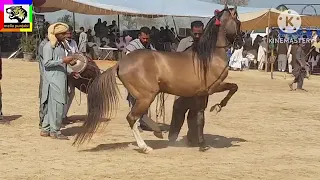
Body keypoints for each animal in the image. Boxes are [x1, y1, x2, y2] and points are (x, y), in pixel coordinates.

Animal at [73, 3, 242, 153]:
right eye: (238, 22)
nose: (240, 42)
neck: (208, 56)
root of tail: (121, 63)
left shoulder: (201, 94)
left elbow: (199, 118)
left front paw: (201, 143)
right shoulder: (214, 87)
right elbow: (234, 87)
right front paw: (218, 107)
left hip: (143, 96)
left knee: (138, 116)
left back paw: (156, 132)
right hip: (147, 96)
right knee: (132, 118)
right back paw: (145, 147)